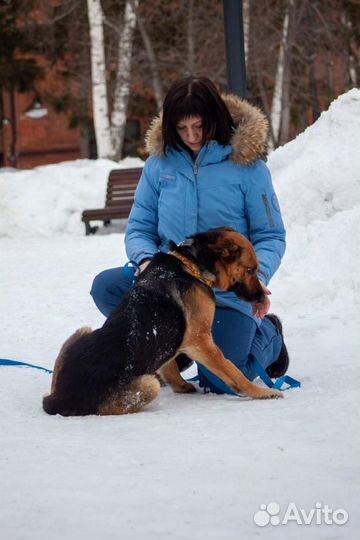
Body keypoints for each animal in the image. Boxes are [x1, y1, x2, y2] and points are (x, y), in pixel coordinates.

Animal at [43, 226, 282, 416]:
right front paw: (261, 392)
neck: (192, 263)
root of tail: (58, 400)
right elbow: (234, 372)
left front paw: (179, 385)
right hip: (147, 385)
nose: (262, 297)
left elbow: (169, 363)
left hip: (81, 332)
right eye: (250, 270)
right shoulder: (201, 341)